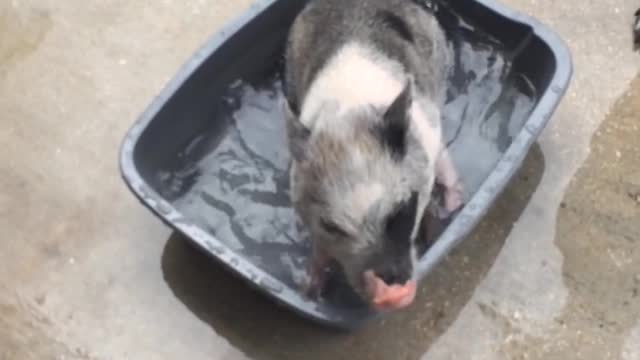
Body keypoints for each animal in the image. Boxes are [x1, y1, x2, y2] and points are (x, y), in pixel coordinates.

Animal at [282, 0, 462, 310]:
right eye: (331, 225)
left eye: (402, 207)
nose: (392, 292)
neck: (351, 111)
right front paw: (308, 291)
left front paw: (439, 226)